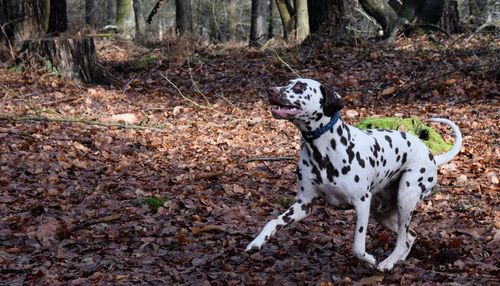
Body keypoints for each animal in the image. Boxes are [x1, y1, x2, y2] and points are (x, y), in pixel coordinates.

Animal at [246, 77, 460, 270]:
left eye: (299, 86)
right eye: (287, 82)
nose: (270, 89)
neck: (322, 151)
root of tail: (432, 156)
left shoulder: (362, 203)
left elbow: (357, 246)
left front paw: (370, 259)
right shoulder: (303, 205)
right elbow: (273, 222)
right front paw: (257, 242)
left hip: (405, 199)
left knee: (402, 238)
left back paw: (388, 262)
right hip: (382, 212)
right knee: (410, 236)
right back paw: (398, 259)